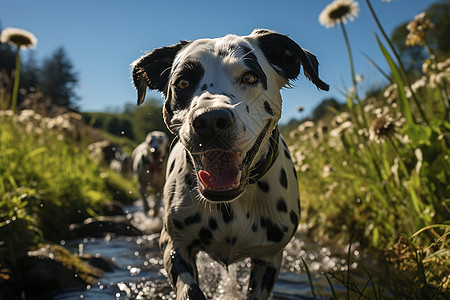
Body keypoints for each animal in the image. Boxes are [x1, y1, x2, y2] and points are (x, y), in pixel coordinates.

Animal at [130, 28, 326, 300]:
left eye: (250, 77)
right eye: (183, 83)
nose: (211, 120)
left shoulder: (269, 258)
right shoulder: (174, 245)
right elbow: (189, 289)